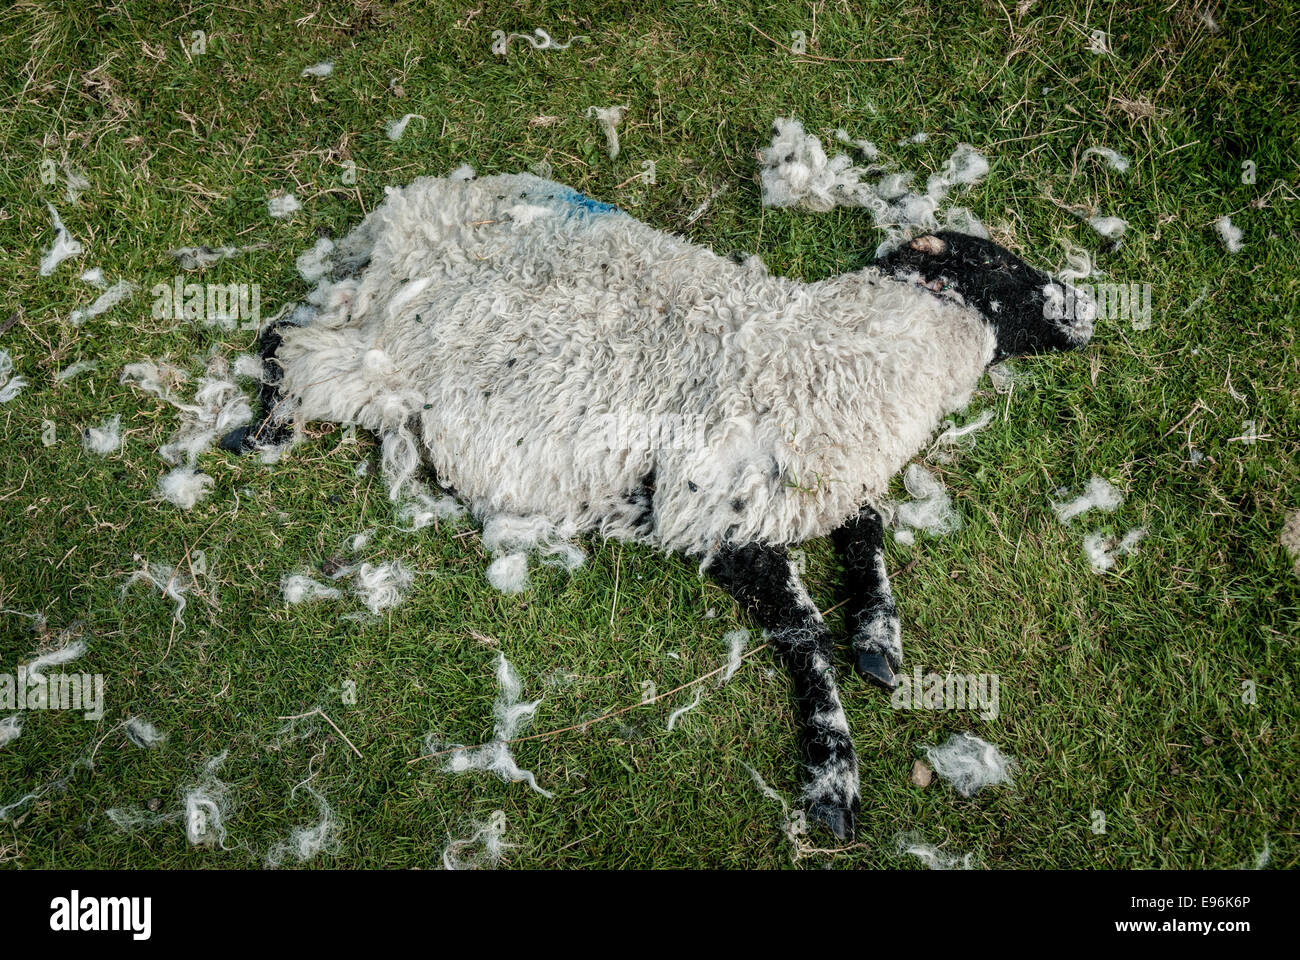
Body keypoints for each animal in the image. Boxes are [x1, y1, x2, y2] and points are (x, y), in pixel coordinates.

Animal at [228, 170, 1092, 837]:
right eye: (1007, 265)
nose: (1088, 310)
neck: (835, 351)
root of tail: (406, 211)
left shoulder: (824, 480)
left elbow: (867, 534)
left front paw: (879, 640)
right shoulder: (713, 515)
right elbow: (803, 635)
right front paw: (833, 776)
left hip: (372, 333)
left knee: (294, 327)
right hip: (383, 355)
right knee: (284, 339)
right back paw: (261, 430)